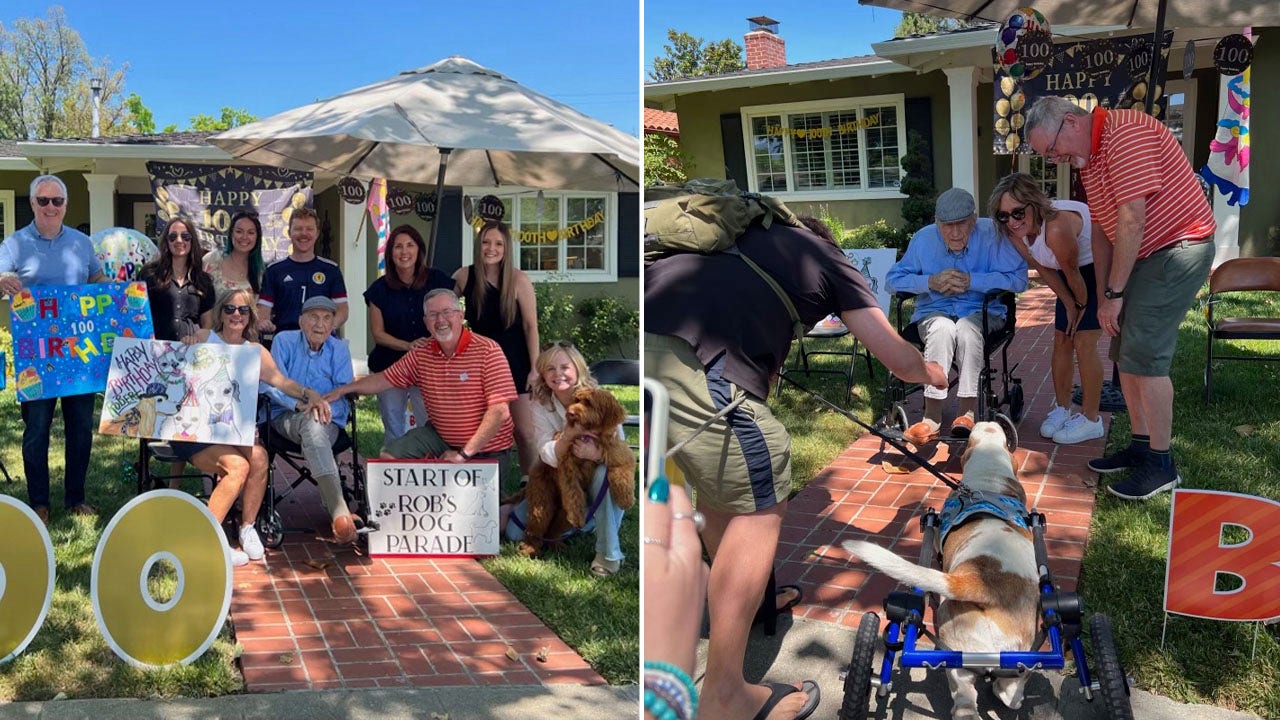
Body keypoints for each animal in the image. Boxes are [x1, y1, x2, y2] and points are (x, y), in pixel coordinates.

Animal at [517, 386, 637, 556]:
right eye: (576, 400)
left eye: (588, 402)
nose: (571, 413)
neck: (588, 435)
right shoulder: (568, 468)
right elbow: (573, 491)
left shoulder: (618, 450)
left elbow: (623, 471)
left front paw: (625, 499)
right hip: (542, 497)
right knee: (538, 523)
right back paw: (530, 547)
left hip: (564, 511)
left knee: (555, 528)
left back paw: (557, 545)